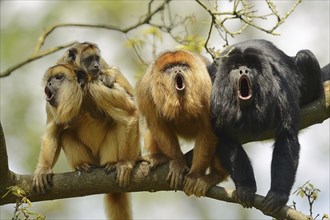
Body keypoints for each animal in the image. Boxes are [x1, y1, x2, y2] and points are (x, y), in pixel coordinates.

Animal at [135, 49, 228, 196]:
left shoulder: (207, 85)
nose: (177, 70)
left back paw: (216, 175)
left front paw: (195, 175)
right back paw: (159, 157)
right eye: (169, 68)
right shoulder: (146, 92)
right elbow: (157, 126)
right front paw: (178, 163)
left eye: (182, 65)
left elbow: (209, 129)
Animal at [210, 39, 324, 213]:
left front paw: (278, 194)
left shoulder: (281, 86)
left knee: (305, 56)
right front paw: (246, 187)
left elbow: (287, 135)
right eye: (236, 67)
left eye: (251, 66)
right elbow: (224, 139)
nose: (243, 70)